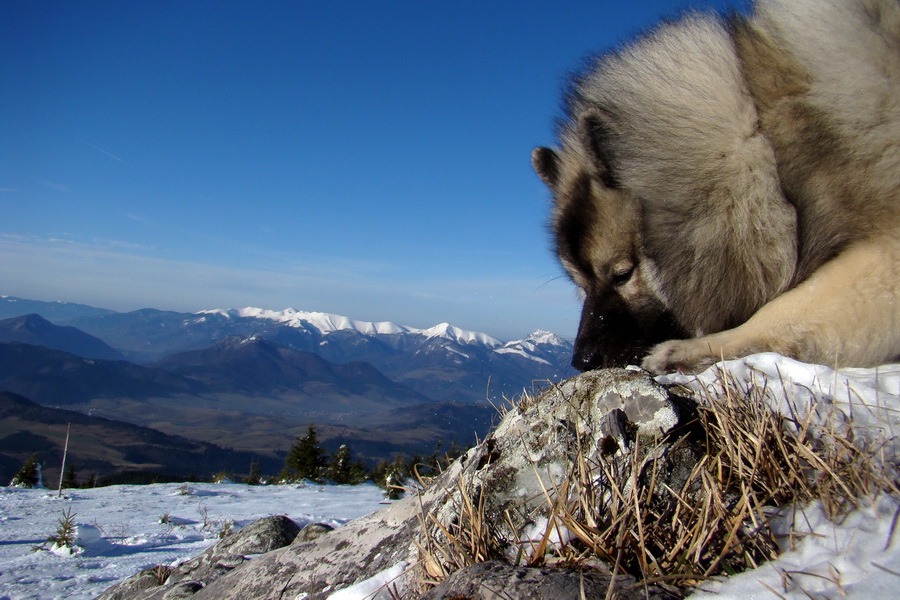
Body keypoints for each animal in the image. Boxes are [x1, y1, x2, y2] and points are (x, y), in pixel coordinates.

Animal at [536, 0, 900, 372]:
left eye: (623, 275)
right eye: (580, 284)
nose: (582, 360)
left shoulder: (886, 251)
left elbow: (784, 309)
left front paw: (693, 349)